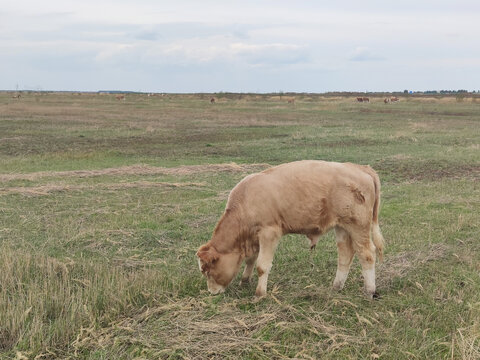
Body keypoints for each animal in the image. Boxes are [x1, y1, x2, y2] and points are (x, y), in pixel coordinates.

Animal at [196, 160, 386, 298]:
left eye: (207, 270)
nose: (211, 292)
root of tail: (360, 168)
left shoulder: (269, 233)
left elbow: (262, 265)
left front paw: (260, 294)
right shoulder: (254, 237)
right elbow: (251, 259)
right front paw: (245, 280)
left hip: (358, 226)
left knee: (367, 254)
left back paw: (369, 291)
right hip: (342, 227)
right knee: (345, 254)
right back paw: (336, 286)